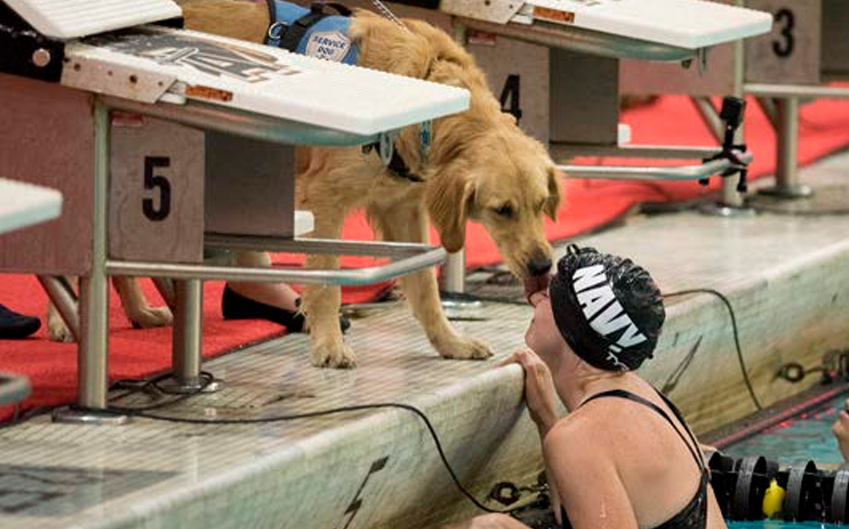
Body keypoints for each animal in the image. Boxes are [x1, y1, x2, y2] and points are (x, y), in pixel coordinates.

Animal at [142, 2, 560, 368]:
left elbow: (425, 286)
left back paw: (146, 312)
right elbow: (328, 282)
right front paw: (329, 344)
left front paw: (450, 342)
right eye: (501, 210)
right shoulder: (324, 198)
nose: (542, 265)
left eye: (541, 204)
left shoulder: (404, 208)